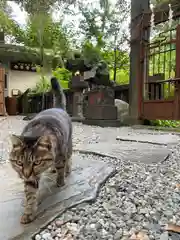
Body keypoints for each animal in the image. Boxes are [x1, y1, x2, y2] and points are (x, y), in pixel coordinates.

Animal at [9, 77, 72, 225]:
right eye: (19, 163)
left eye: (36, 163)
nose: (25, 175)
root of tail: (57, 107)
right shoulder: (30, 180)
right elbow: (31, 194)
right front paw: (29, 212)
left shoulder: (60, 155)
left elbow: (61, 168)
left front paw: (60, 181)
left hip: (69, 144)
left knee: (68, 159)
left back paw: (66, 170)